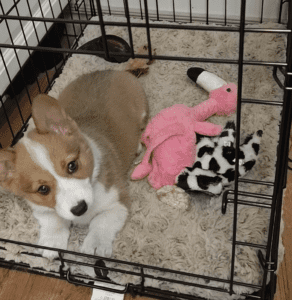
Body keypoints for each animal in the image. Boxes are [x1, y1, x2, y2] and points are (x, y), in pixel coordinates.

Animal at [0, 69, 149, 258]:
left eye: (72, 166)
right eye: (43, 189)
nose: (80, 209)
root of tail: (111, 70)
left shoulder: (117, 203)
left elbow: (101, 222)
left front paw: (95, 244)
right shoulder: (42, 208)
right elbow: (54, 220)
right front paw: (52, 242)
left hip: (142, 110)